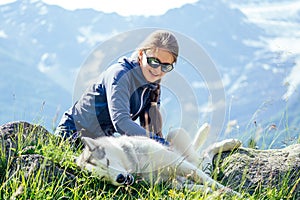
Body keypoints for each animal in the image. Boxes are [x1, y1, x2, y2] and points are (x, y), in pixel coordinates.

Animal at [77, 123, 241, 194]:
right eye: (103, 177)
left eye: (107, 162)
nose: (120, 179)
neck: (138, 165)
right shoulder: (174, 185)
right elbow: (204, 187)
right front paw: (221, 192)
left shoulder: (179, 163)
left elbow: (211, 182)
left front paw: (235, 193)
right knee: (206, 156)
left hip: (179, 139)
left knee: (204, 154)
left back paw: (231, 143)